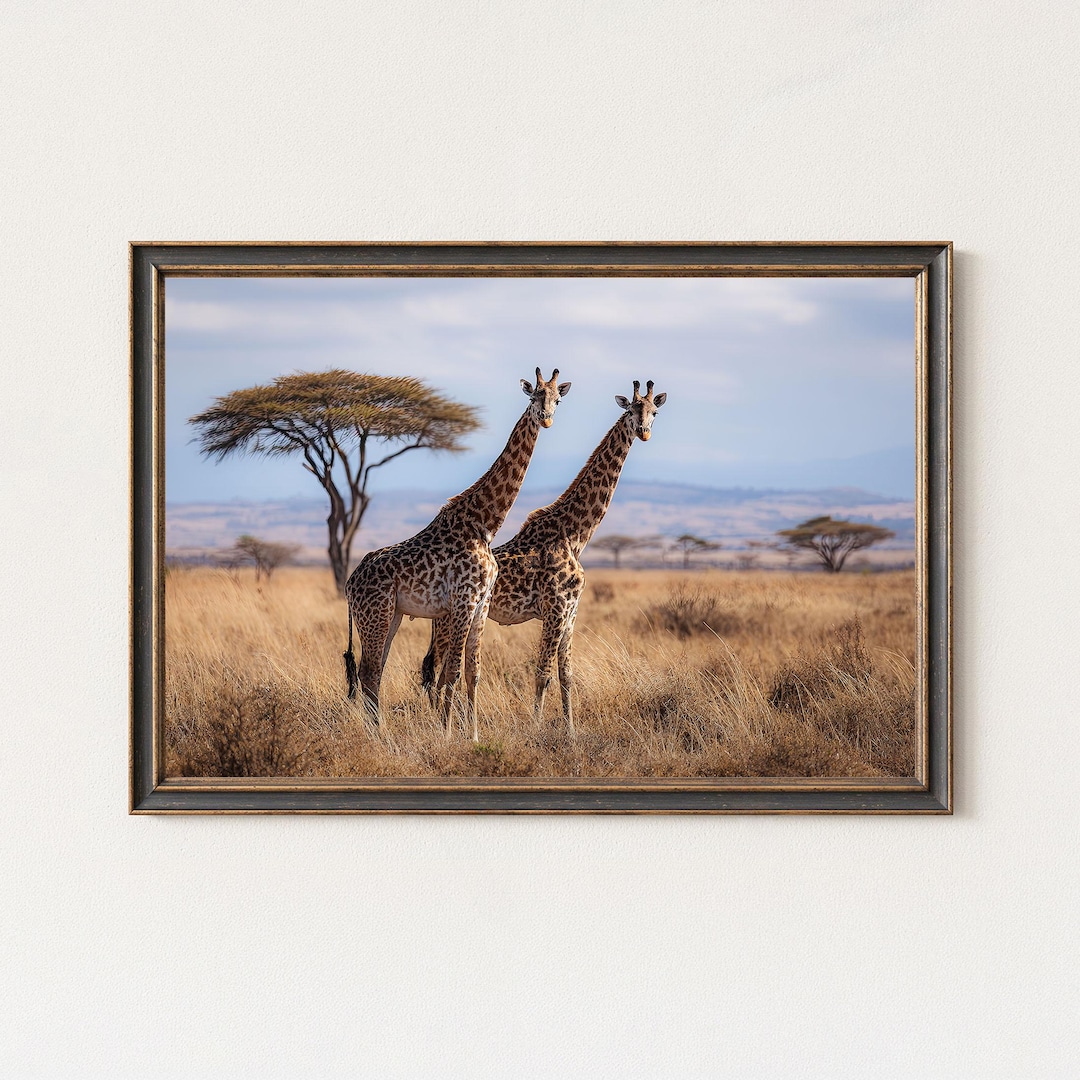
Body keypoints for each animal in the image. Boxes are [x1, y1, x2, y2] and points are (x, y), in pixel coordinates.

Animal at [343, 368, 571, 739]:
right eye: (535, 396)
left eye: (558, 400)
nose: (547, 419)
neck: (485, 524)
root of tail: (349, 584)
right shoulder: (463, 600)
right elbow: (451, 671)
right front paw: (447, 734)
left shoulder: (481, 603)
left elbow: (473, 673)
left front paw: (473, 735)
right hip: (374, 614)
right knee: (370, 672)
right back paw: (380, 735)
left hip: (391, 615)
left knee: (372, 671)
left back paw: (377, 731)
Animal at [422, 379, 666, 735]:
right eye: (632, 410)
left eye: (654, 412)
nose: (644, 432)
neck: (575, 534)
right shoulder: (555, 609)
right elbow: (543, 675)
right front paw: (537, 728)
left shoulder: (571, 612)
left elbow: (567, 676)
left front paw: (571, 731)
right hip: (448, 618)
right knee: (436, 673)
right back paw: (442, 728)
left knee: (437, 672)